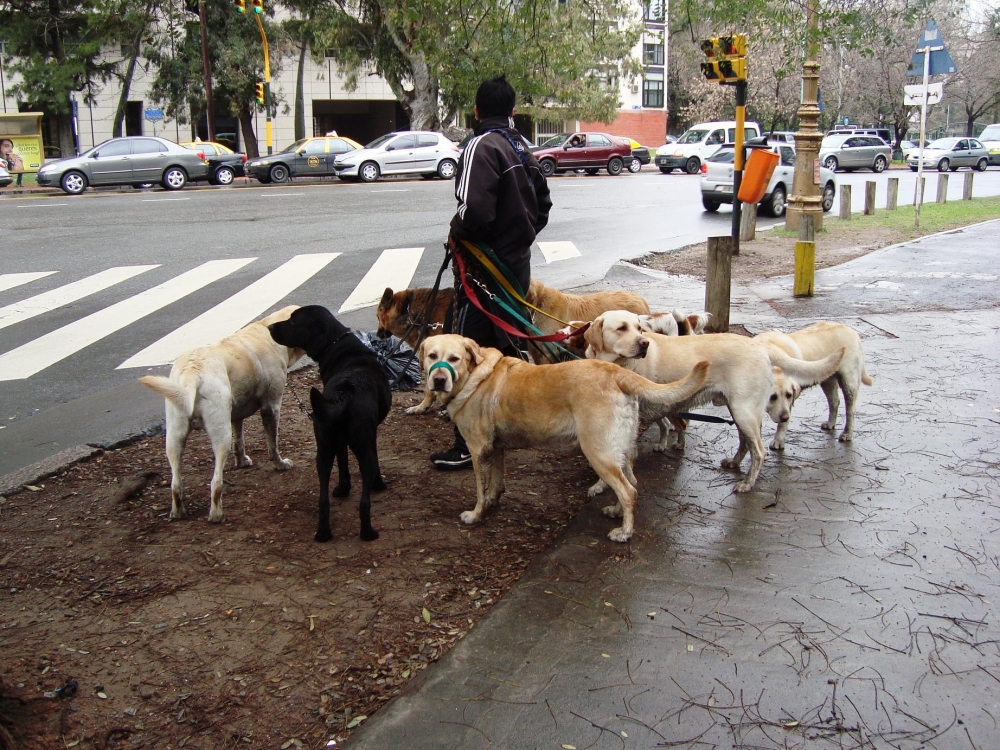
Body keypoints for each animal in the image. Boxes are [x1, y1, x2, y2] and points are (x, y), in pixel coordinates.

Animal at [140, 306, 304, 524]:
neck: (267, 332)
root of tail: (193, 371)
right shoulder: (271, 407)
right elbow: (272, 445)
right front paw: (280, 464)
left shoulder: (235, 417)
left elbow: (239, 442)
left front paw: (242, 462)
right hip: (220, 434)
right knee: (216, 482)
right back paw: (217, 514)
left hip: (174, 436)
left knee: (176, 482)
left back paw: (178, 512)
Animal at [410, 334, 708, 540]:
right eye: (431, 355)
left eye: (454, 359)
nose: (438, 380)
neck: (475, 375)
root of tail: (617, 372)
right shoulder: (495, 449)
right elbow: (496, 482)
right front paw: (493, 502)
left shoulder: (478, 449)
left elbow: (481, 490)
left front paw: (476, 514)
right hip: (619, 451)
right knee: (632, 483)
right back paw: (617, 512)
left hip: (598, 452)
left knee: (628, 490)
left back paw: (624, 532)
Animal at [584, 310, 844, 494]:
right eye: (621, 328)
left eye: (639, 328)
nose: (643, 343)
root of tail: (758, 345)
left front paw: (604, 485)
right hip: (739, 411)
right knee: (745, 443)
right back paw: (735, 463)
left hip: (743, 412)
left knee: (759, 451)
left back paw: (748, 484)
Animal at [752, 320, 872, 450]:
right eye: (772, 397)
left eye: (788, 395)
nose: (785, 417)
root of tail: (852, 331)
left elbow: (782, 425)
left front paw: (778, 441)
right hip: (827, 379)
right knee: (834, 402)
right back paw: (830, 423)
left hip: (849, 382)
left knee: (850, 410)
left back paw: (847, 433)